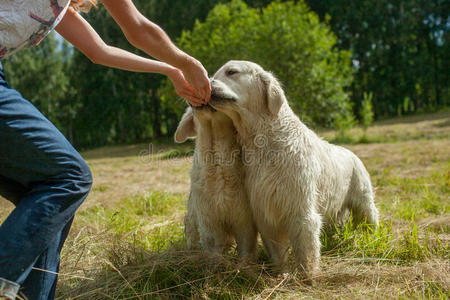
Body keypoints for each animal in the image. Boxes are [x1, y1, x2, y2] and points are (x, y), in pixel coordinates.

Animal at [174, 105, 256, 260]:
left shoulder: (244, 219)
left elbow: (246, 248)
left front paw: (245, 265)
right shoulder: (208, 219)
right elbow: (213, 248)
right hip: (191, 221)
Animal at [209, 60, 378, 276]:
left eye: (231, 72)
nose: (207, 83)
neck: (265, 142)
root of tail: (352, 153)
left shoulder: (300, 209)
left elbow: (306, 250)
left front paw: (308, 276)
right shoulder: (265, 212)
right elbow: (276, 251)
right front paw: (281, 273)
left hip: (364, 203)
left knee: (370, 220)